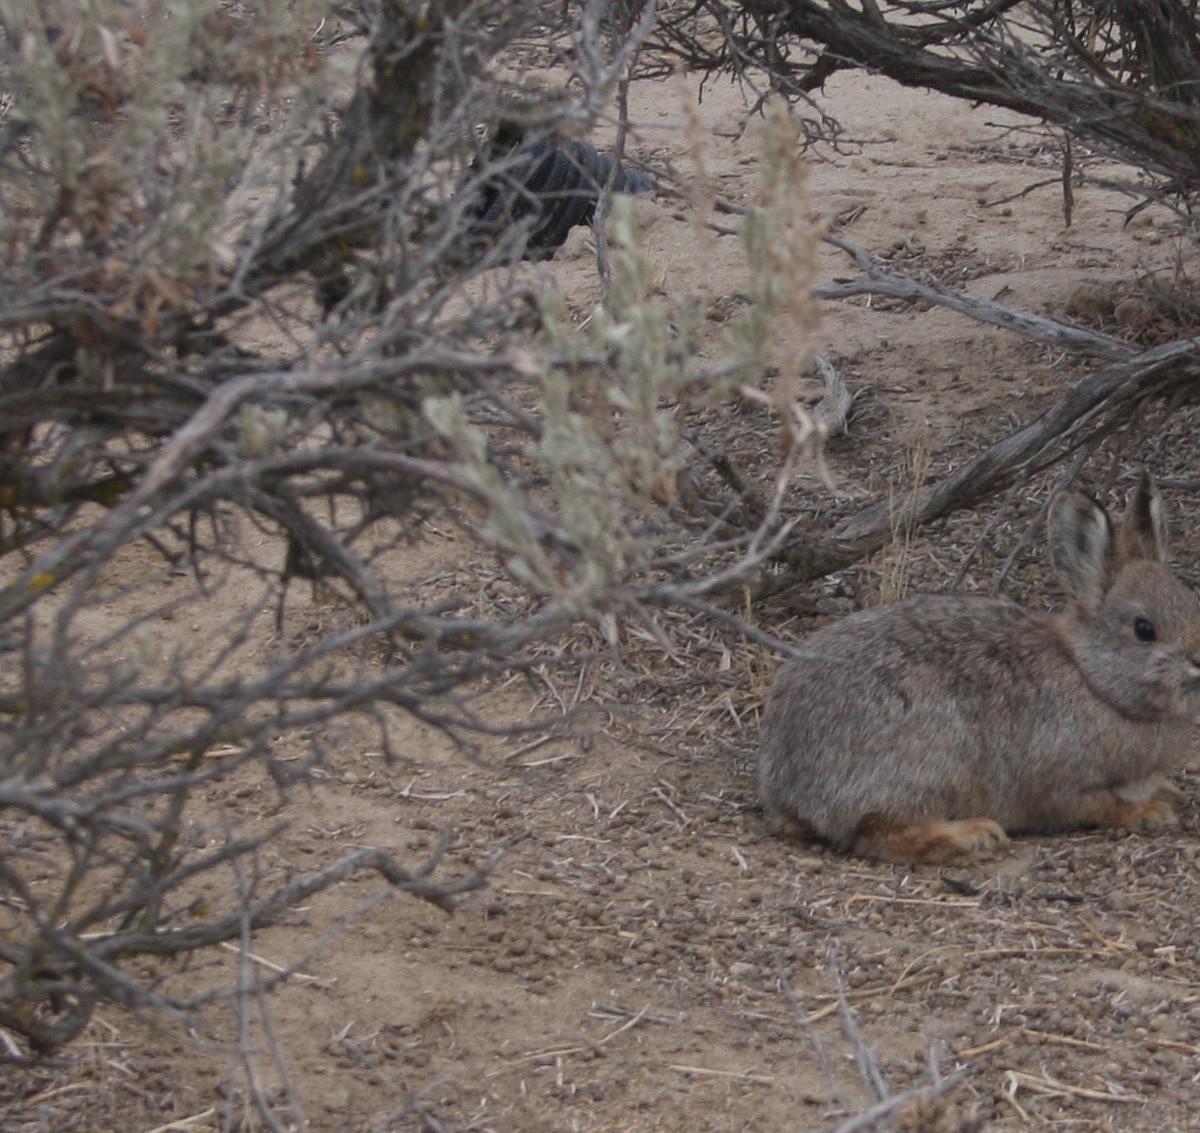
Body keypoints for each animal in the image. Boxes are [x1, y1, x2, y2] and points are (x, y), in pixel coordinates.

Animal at [757, 473, 1200, 863]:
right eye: (1144, 630)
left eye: (1192, 604)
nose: (1199, 660)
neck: (1093, 679)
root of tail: (785, 780)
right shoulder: (1062, 781)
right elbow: (1097, 804)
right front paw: (1148, 813)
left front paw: (1168, 794)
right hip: (930, 758)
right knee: (879, 831)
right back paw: (973, 836)